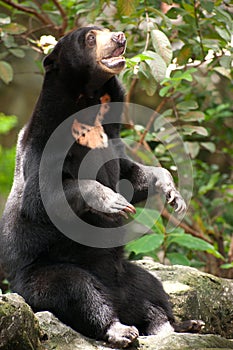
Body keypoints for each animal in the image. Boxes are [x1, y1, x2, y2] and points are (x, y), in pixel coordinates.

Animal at [0, 26, 200, 348]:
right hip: (40, 277)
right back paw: (121, 330)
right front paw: (112, 201)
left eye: (105, 29)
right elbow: (42, 197)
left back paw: (177, 325)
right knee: (78, 291)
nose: (120, 37)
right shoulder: (44, 144)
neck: (89, 105)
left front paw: (172, 192)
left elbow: (129, 174)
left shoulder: (112, 136)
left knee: (151, 289)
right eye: (90, 38)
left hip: (128, 274)